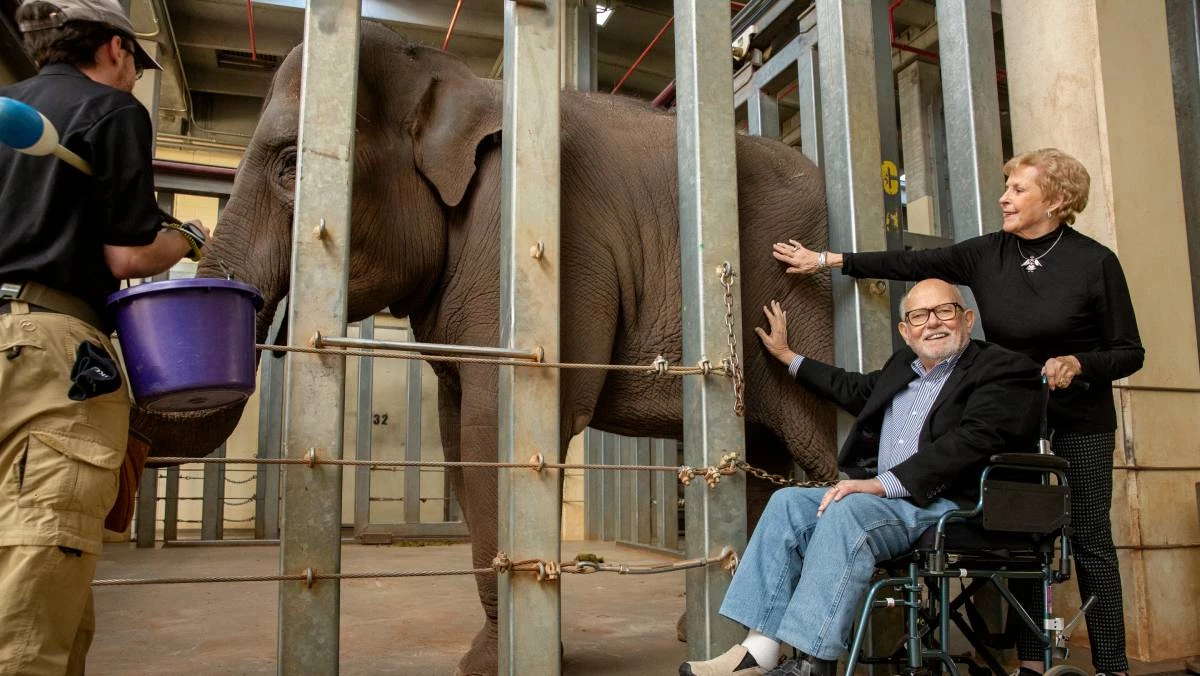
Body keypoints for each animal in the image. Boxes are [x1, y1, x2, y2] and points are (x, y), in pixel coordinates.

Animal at [133, 22, 835, 676]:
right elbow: (458, 436)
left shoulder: (531, 239)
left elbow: (490, 426)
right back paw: (706, 635)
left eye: (289, 168)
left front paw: (498, 661)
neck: (455, 81)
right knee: (763, 457)